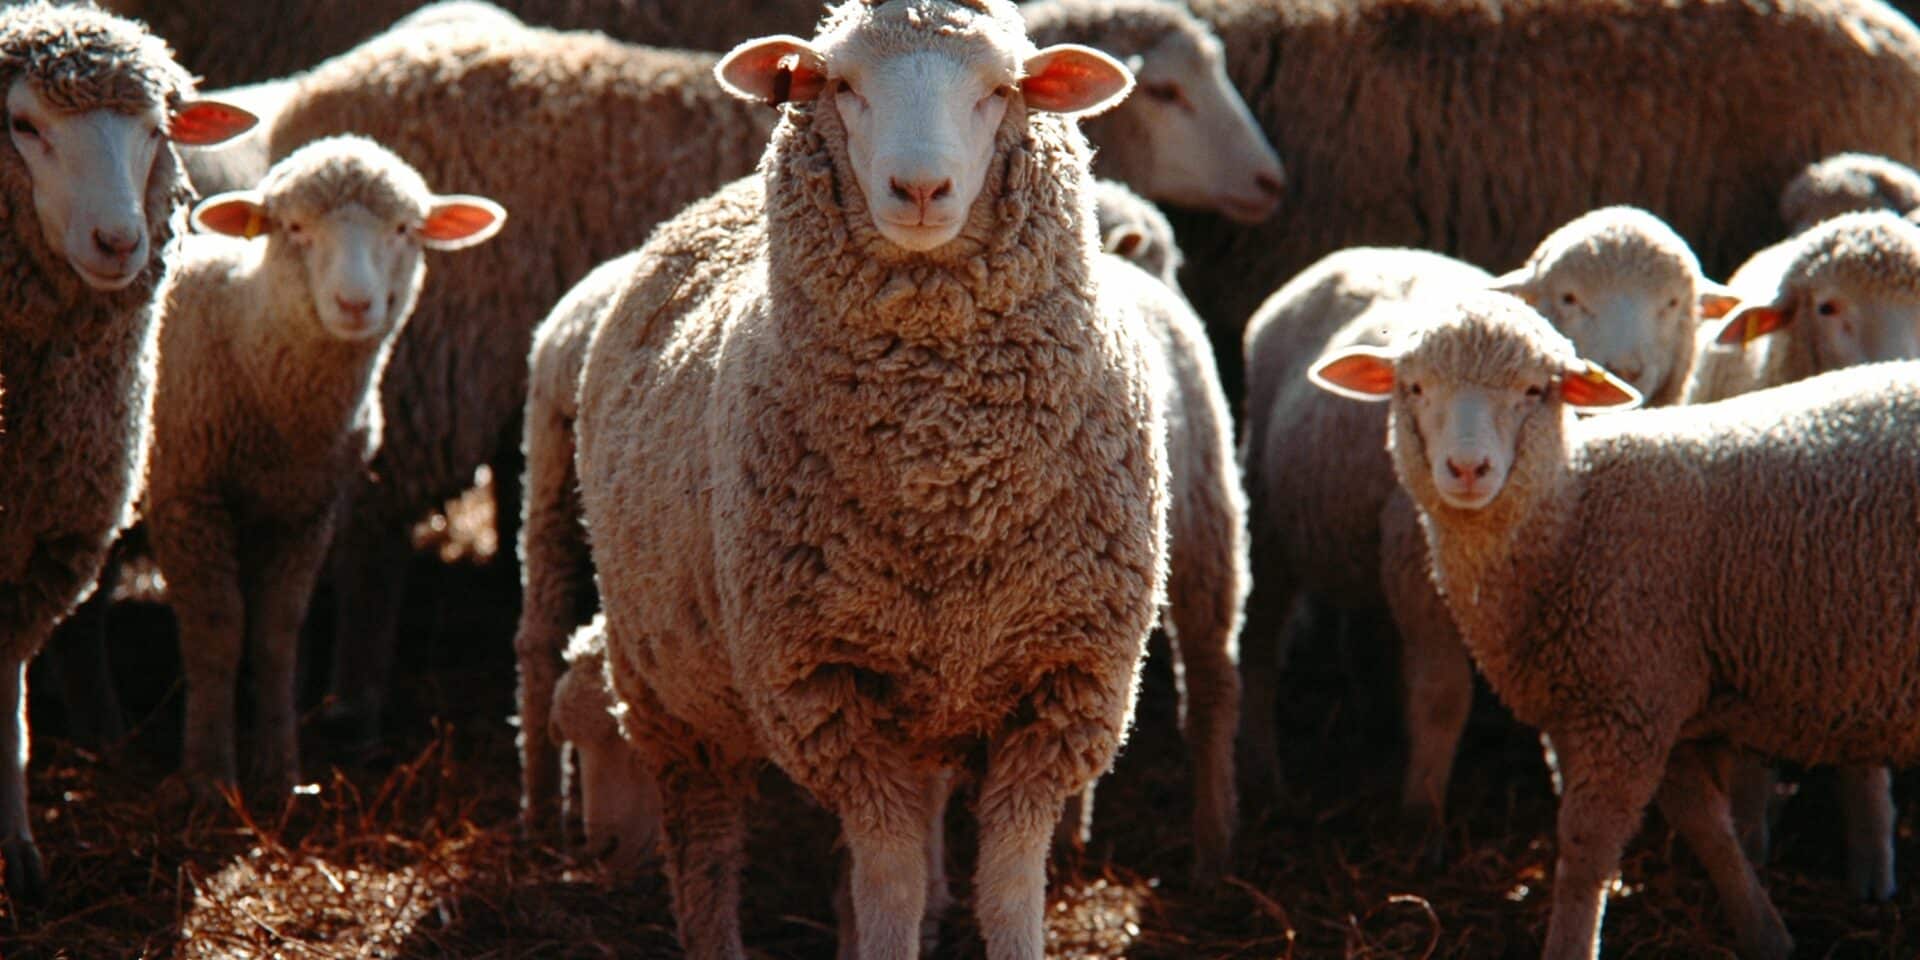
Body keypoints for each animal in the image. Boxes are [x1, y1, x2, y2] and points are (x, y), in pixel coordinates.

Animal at [0, 2, 255, 902]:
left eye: (156, 130)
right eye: (22, 125)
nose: (119, 242)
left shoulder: (49, 541)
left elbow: (6, 697)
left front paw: (17, 852)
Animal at [146, 136, 503, 799]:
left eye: (403, 229)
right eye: (293, 228)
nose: (355, 304)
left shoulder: (309, 508)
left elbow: (277, 631)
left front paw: (279, 774)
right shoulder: (188, 494)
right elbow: (216, 631)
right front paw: (209, 776)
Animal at [572, 1, 1164, 953]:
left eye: (1001, 89)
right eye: (841, 84)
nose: (919, 191)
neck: (944, 471)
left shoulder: (1065, 682)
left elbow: (1008, 886)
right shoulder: (824, 687)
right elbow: (886, 879)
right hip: (670, 691)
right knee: (704, 839)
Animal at [1241, 208, 1718, 824]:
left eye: (1673, 303)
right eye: (1568, 297)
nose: (1624, 368)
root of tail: (1374, 249)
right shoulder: (1419, 576)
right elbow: (1442, 696)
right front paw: (1422, 813)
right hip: (1265, 506)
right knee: (1258, 641)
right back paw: (1262, 775)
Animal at [1312, 292, 1920, 960]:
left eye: (1534, 390)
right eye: (1415, 387)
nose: (1468, 468)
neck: (1575, 510)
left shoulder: (1625, 703)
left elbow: (1585, 852)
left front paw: (1569, 944)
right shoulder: (1654, 695)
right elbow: (1707, 824)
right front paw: (1763, 929)